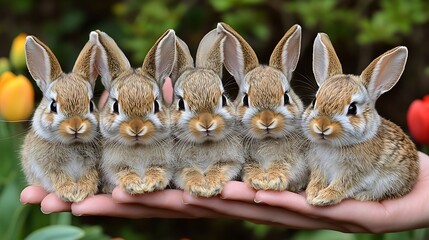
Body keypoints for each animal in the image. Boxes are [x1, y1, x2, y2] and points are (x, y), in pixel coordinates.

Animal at [21, 31, 100, 202]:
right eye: (53, 106)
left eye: (91, 104)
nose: (76, 126)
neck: (72, 144)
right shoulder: (49, 167)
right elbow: (58, 176)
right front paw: (69, 192)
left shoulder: (93, 165)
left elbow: (90, 174)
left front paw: (83, 190)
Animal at [93, 30, 175, 195]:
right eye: (115, 106)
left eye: (156, 105)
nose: (136, 128)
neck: (138, 146)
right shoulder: (114, 166)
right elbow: (124, 172)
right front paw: (134, 185)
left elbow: (158, 169)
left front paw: (151, 183)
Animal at [171, 27, 244, 198]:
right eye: (181, 103)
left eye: (223, 98)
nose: (206, 123)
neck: (205, 143)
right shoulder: (179, 167)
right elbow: (189, 171)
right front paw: (198, 186)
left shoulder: (231, 161)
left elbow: (219, 167)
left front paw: (211, 186)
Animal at [217, 22, 308, 191]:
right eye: (246, 99)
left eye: (286, 97)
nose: (267, 120)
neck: (267, 138)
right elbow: (252, 166)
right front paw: (258, 179)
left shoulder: (290, 158)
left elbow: (281, 164)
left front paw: (273, 180)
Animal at [302, 32, 420, 206]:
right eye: (314, 101)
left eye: (352, 108)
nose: (322, 126)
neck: (331, 145)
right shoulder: (318, 166)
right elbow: (317, 179)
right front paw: (312, 194)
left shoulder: (354, 171)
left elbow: (342, 184)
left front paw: (324, 198)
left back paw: (363, 196)